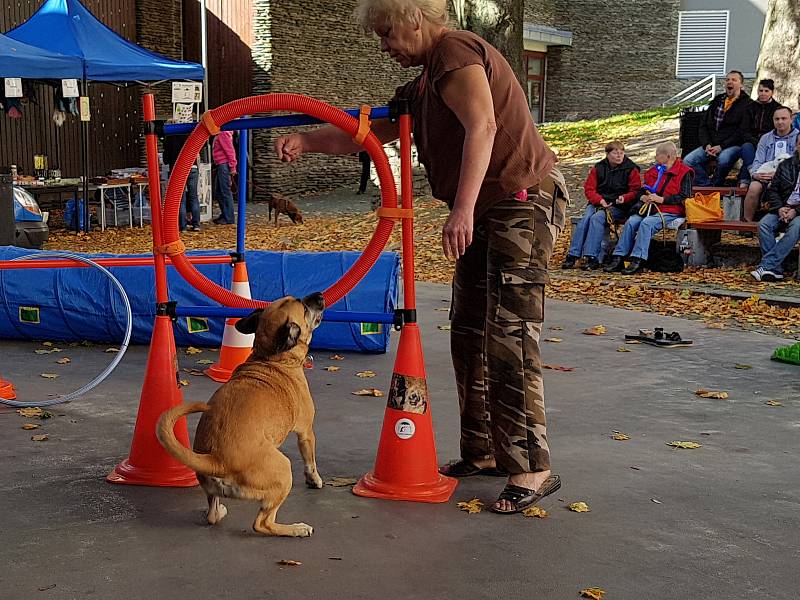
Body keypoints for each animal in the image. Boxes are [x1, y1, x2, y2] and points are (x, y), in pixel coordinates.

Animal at [158, 292, 326, 536]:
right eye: (304, 308)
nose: (319, 296)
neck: (269, 356)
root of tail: (216, 461)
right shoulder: (306, 432)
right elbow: (310, 461)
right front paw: (315, 480)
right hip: (284, 470)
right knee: (262, 523)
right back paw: (296, 529)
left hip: (214, 493)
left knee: (212, 515)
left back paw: (220, 512)